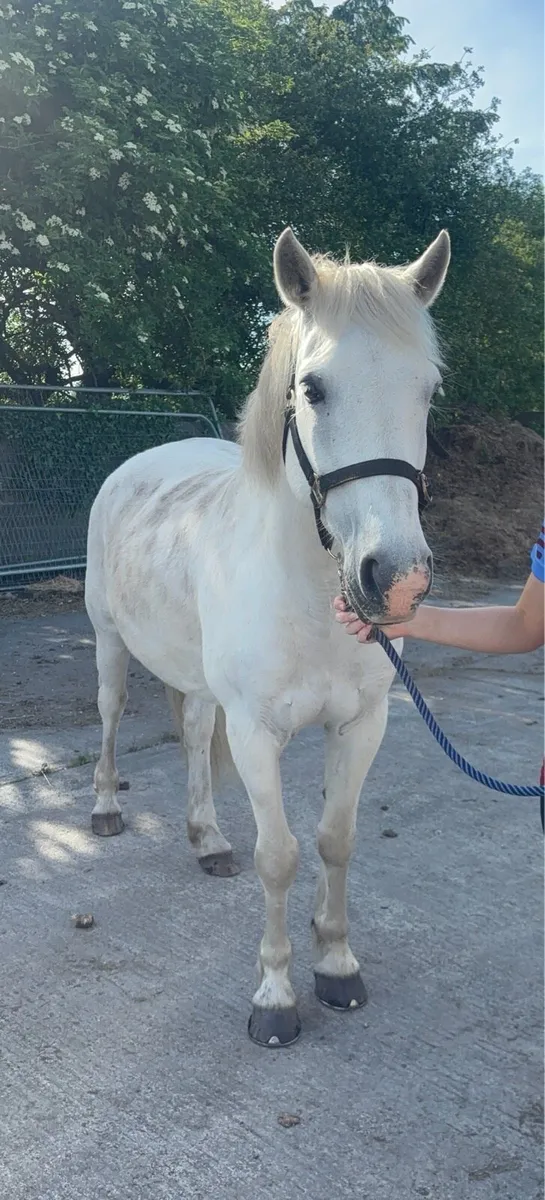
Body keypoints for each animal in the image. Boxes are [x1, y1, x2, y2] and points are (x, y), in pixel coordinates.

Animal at [85, 226, 450, 1046]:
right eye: (312, 388)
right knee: (112, 717)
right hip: (109, 644)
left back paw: (207, 840)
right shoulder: (256, 732)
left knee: (192, 733)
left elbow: (335, 839)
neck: (309, 596)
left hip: (192, 678)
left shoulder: (362, 725)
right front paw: (276, 997)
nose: (396, 580)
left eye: (428, 390)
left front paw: (337, 967)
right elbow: (279, 856)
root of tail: (137, 463)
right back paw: (106, 810)